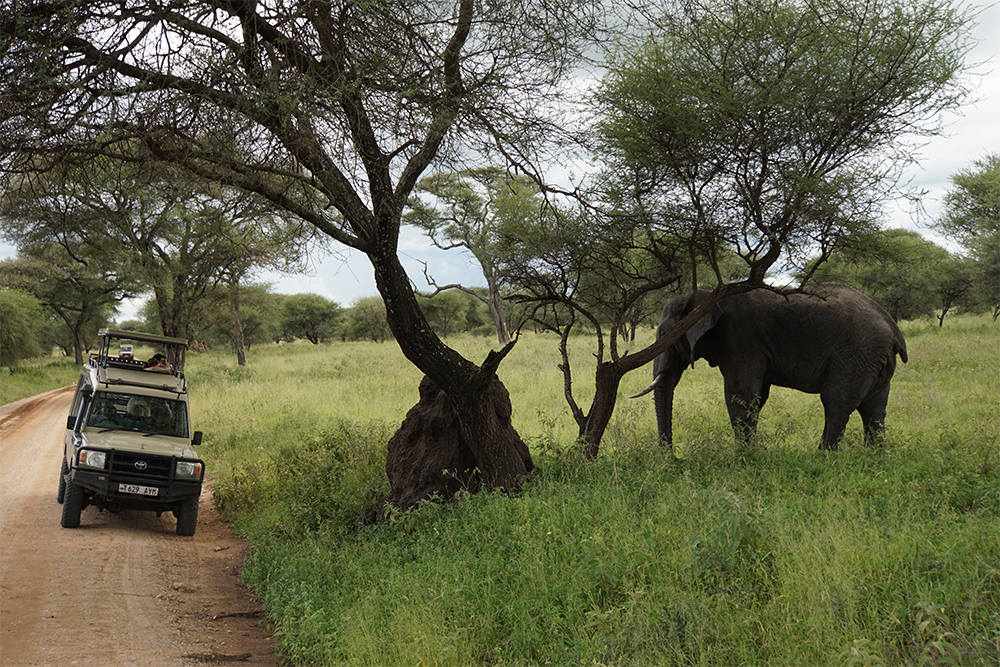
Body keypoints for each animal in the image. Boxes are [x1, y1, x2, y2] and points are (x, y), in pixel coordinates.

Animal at [632, 284, 908, 452]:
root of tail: (893, 328)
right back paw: (873, 458)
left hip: (857, 353)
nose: (671, 456)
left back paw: (822, 457)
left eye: (664, 334)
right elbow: (756, 398)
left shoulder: (740, 340)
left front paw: (743, 458)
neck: (707, 296)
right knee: (874, 410)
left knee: (836, 403)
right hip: (874, 359)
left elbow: (741, 397)